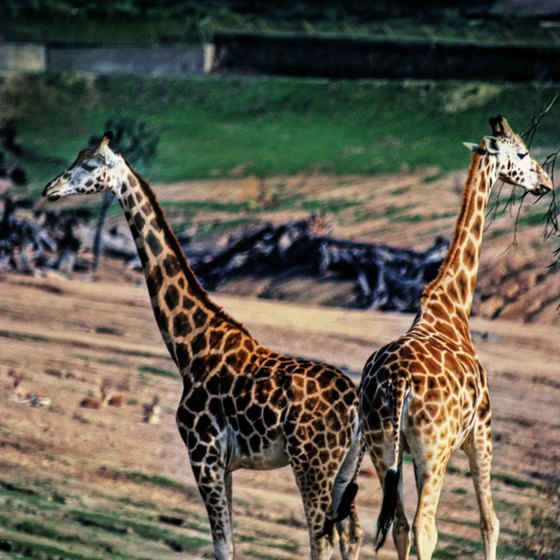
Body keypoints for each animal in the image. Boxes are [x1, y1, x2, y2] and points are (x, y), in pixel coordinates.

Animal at [44, 132, 368, 560]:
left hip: (312, 462)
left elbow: (222, 544)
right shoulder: (224, 463)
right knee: (352, 534)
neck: (189, 346)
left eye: (91, 165)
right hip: (346, 465)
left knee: (323, 539)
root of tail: (355, 407)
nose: (50, 189)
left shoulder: (203, 454)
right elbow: (228, 540)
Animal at [358, 115, 552, 560]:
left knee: (398, 525)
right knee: (425, 527)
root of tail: (398, 385)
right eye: (521, 153)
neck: (453, 306)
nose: (547, 182)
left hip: (382, 446)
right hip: (435, 449)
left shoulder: (409, 451)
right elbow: (490, 522)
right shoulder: (480, 433)